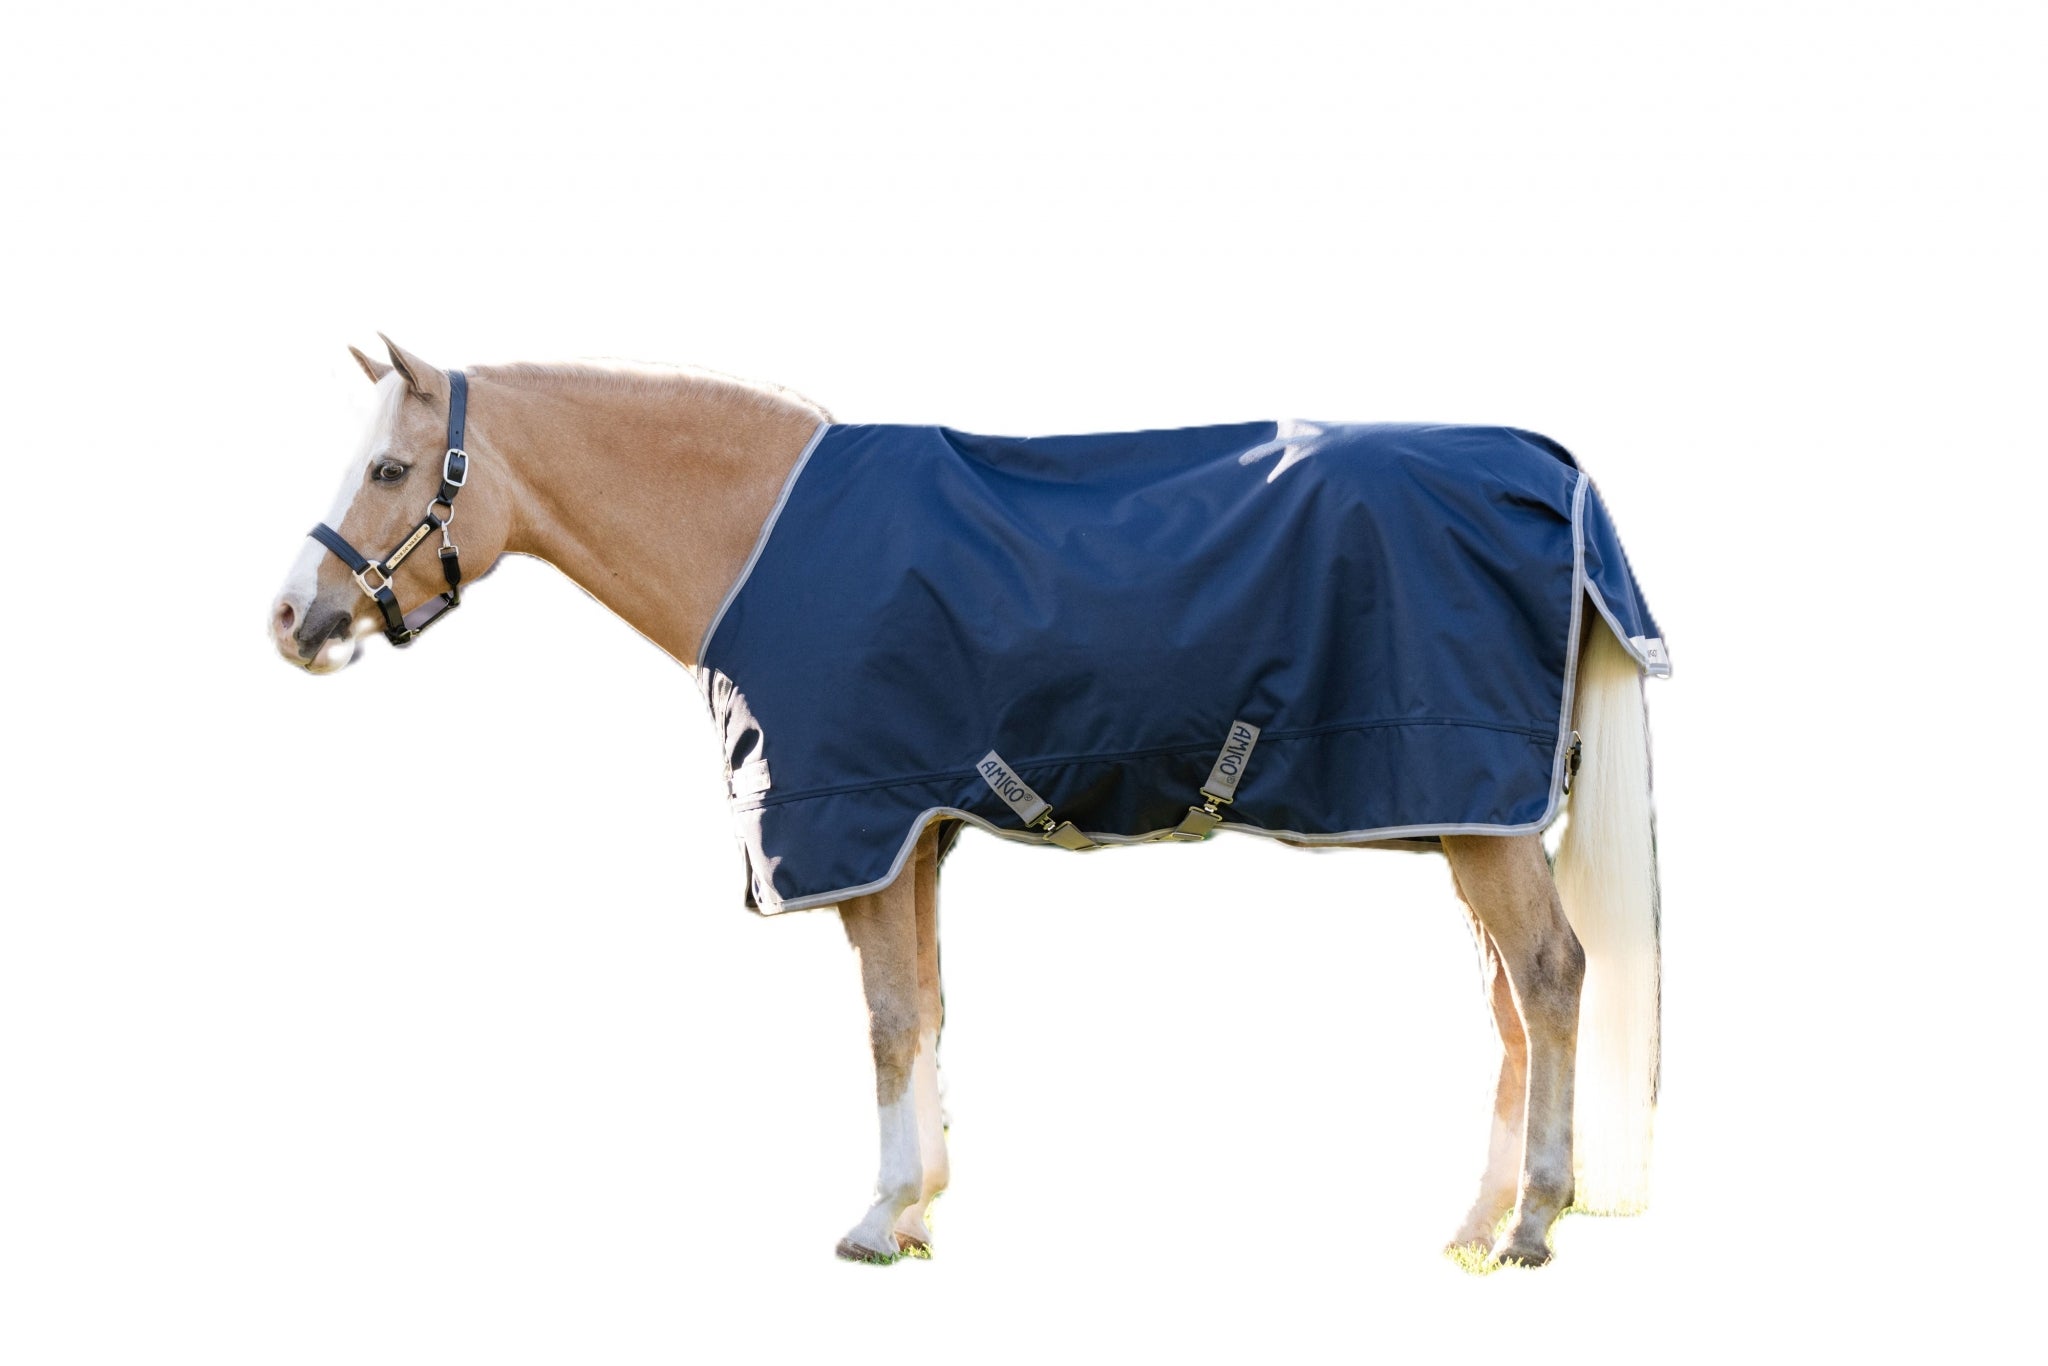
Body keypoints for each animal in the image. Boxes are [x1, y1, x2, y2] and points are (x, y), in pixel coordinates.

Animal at [270, 336, 1663, 1268]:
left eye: (389, 469)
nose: (294, 618)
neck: (757, 533)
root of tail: (1554, 473)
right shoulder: (921, 835)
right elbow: (928, 1007)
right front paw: (924, 1200)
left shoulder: (861, 827)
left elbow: (887, 1019)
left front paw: (879, 1215)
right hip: (1461, 817)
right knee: (1506, 1002)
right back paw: (1476, 1219)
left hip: (1477, 818)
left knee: (1549, 976)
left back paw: (1535, 1218)